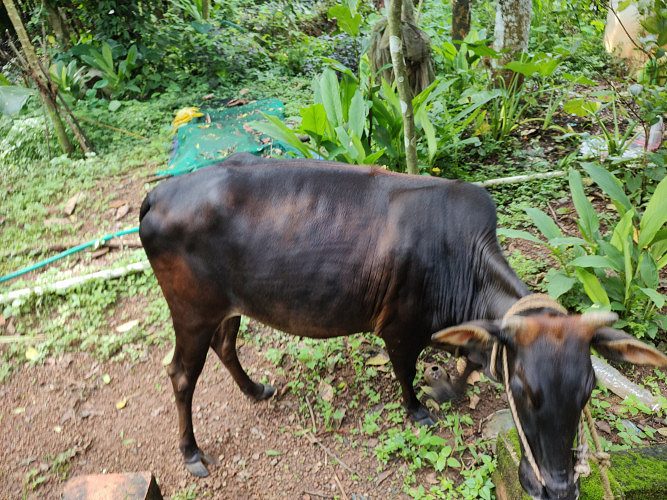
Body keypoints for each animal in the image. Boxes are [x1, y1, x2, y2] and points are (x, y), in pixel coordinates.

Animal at [139, 153, 667, 499]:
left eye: (588, 390)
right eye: (521, 389)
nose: (557, 488)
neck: (463, 265)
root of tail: (160, 192)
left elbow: (466, 361)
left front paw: (448, 387)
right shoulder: (399, 329)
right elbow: (406, 373)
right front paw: (419, 408)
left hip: (231, 307)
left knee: (227, 346)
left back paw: (255, 390)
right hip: (192, 313)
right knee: (181, 374)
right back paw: (191, 452)